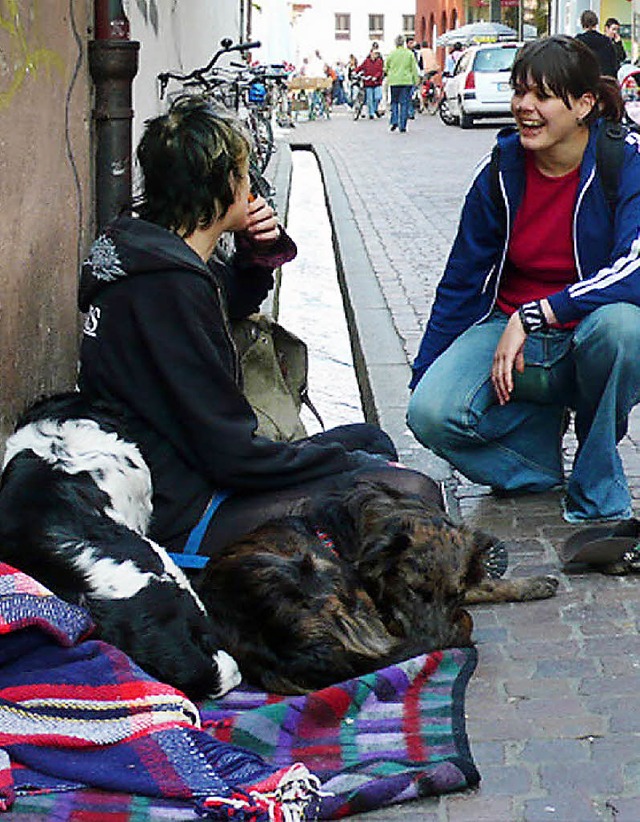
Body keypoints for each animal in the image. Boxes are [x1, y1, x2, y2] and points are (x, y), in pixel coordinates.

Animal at [196, 482, 560, 696]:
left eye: (452, 595)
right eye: (414, 590)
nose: (440, 640)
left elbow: (481, 584)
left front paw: (531, 584)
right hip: (323, 574)